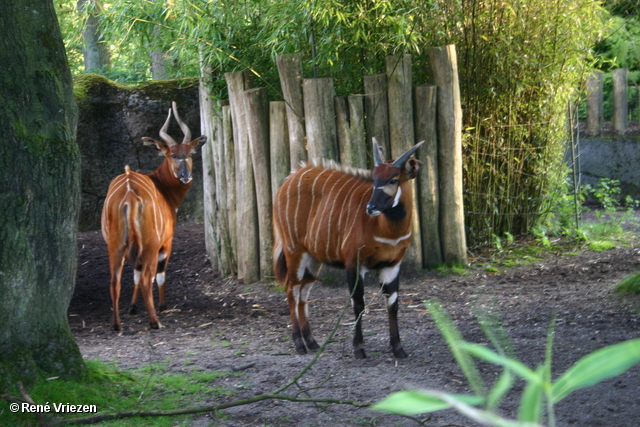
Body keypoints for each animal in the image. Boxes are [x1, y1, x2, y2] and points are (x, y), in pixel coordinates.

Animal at [272, 139, 422, 360]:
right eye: (374, 179)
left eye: (393, 180)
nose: (371, 207)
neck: (386, 230)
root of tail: (288, 180)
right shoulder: (354, 262)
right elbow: (358, 303)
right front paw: (358, 348)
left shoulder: (392, 264)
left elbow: (393, 303)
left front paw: (398, 349)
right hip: (294, 250)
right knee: (292, 288)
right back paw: (299, 344)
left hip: (313, 258)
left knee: (304, 290)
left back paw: (311, 342)